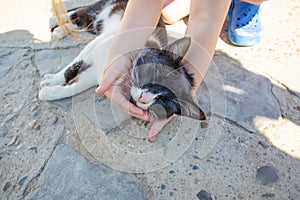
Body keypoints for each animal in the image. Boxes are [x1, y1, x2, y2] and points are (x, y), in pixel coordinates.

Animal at [38, 0, 205, 141]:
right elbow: (74, 65)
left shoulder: (97, 75)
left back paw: (60, 30)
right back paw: (55, 22)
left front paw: (50, 92)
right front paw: (52, 80)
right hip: (106, 11)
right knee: (82, 11)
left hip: (95, 25)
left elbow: (77, 85)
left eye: (163, 101)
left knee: (83, 21)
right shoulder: (99, 45)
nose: (144, 98)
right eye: (157, 75)